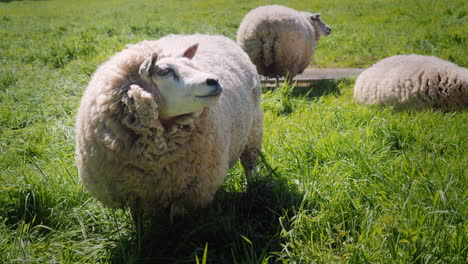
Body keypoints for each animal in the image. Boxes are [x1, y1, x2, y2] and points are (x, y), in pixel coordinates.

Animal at [73, 32, 264, 223]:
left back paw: (252, 191)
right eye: (164, 71)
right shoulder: (132, 191)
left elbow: (176, 220)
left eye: (191, 66)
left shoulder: (185, 192)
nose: (214, 80)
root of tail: (212, 35)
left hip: (253, 132)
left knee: (249, 166)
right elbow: (137, 219)